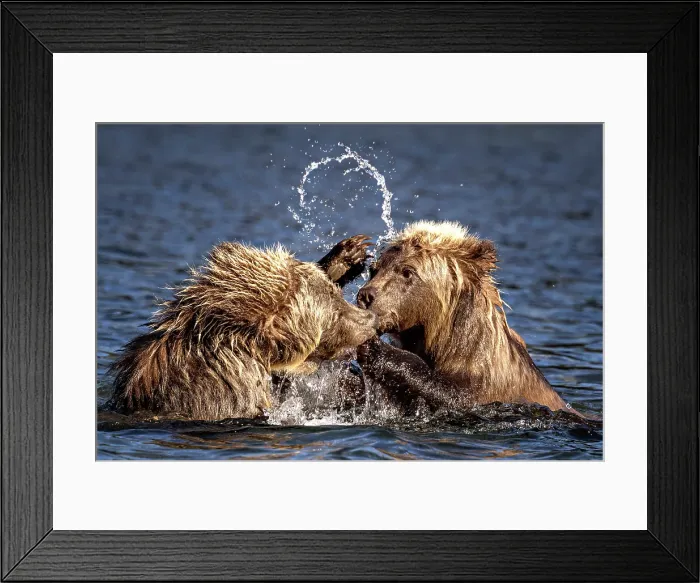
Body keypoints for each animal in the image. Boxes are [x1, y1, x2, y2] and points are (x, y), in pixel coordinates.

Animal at [355, 220, 581, 416]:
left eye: (407, 271)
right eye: (374, 269)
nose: (365, 296)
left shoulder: (487, 387)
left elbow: (451, 394)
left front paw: (373, 347)